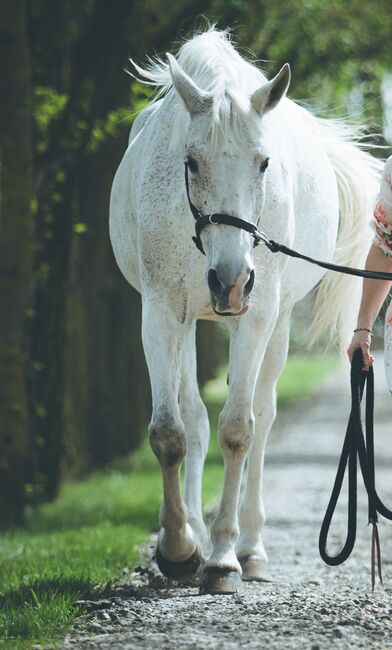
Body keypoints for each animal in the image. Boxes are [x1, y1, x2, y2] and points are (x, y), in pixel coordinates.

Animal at [108, 27, 382, 588]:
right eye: (191, 161)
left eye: (264, 163)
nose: (230, 283)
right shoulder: (162, 313)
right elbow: (170, 433)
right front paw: (178, 548)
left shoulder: (256, 317)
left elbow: (239, 429)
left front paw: (223, 558)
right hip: (194, 321)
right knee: (194, 416)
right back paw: (195, 530)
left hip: (274, 324)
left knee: (262, 412)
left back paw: (251, 547)